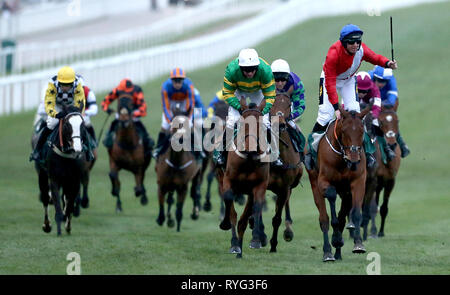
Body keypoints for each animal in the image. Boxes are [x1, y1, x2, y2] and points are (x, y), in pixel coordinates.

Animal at [219, 99, 270, 260]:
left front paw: (256, 239)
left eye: (260, 124)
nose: (251, 149)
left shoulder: (259, 185)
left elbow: (256, 207)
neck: (248, 160)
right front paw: (227, 228)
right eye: (243, 123)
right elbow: (231, 209)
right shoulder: (228, 181)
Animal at [306, 105, 370, 262]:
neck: (342, 158)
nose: (354, 159)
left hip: (346, 192)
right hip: (314, 184)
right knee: (324, 219)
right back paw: (328, 252)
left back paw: (338, 252)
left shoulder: (358, 181)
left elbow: (356, 213)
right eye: (344, 131)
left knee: (342, 215)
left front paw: (358, 243)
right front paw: (335, 239)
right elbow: (331, 198)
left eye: (362, 131)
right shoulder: (323, 181)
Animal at [362, 106, 400, 240]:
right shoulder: (373, 180)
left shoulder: (390, 181)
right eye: (381, 122)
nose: (392, 144)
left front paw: (381, 232)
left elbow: (383, 208)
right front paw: (372, 231)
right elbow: (372, 207)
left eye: (397, 121)